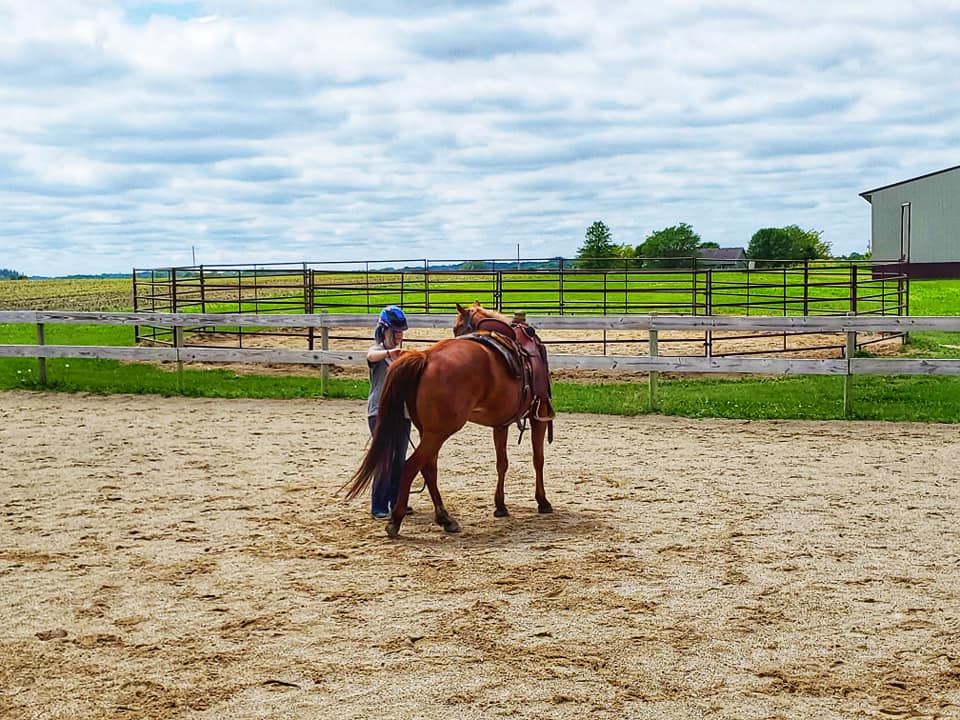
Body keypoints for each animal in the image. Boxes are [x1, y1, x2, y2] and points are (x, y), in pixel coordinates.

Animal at [344, 300, 556, 536]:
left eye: (457, 328)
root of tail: (426, 357)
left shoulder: (500, 424)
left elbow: (502, 462)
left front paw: (500, 505)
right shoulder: (540, 415)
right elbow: (538, 459)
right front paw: (543, 501)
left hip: (430, 432)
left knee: (428, 468)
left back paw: (445, 518)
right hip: (439, 432)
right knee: (411, 466)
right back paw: (396, 520)